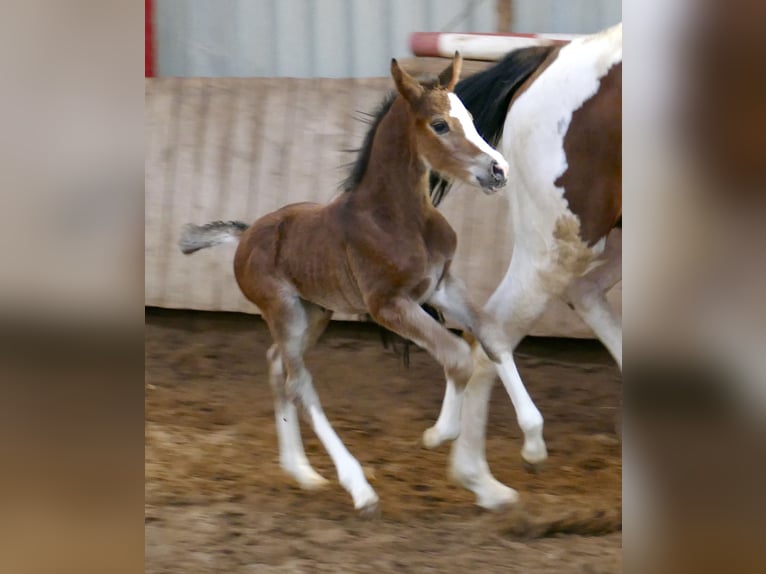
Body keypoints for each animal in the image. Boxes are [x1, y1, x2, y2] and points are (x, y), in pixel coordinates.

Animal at [179, 53, 547, 515]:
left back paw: (302, 472)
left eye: (470, 118)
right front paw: (438, 434)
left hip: (315, 311)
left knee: (278, 365)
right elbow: (457, 355)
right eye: (440, 125)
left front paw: (532, 444)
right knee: (300, 382)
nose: (498, 170)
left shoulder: (442, 284)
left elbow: (492, 338)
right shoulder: (388, 304)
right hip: (283, 310)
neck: (397, 217)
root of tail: (244, 236)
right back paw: (358, 487)